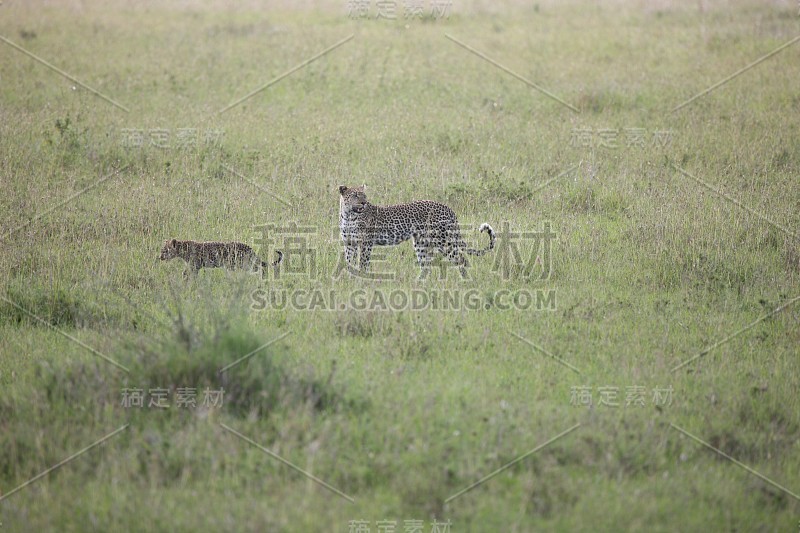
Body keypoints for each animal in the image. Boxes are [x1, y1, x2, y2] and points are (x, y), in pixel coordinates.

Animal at [338, 185, 494, 278]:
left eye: (364, 195)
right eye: (355, 195)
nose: (364, 202)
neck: (348, 216)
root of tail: (447, 208)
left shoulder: (366, 243)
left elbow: (362, 263)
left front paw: (361, 279)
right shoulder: (349, 244)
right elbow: (349, 262)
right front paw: (350, 279)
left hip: (443, 241)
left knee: (462, 260)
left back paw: (464, 281)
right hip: (421, 243)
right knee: (426, 267)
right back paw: (419, 284)